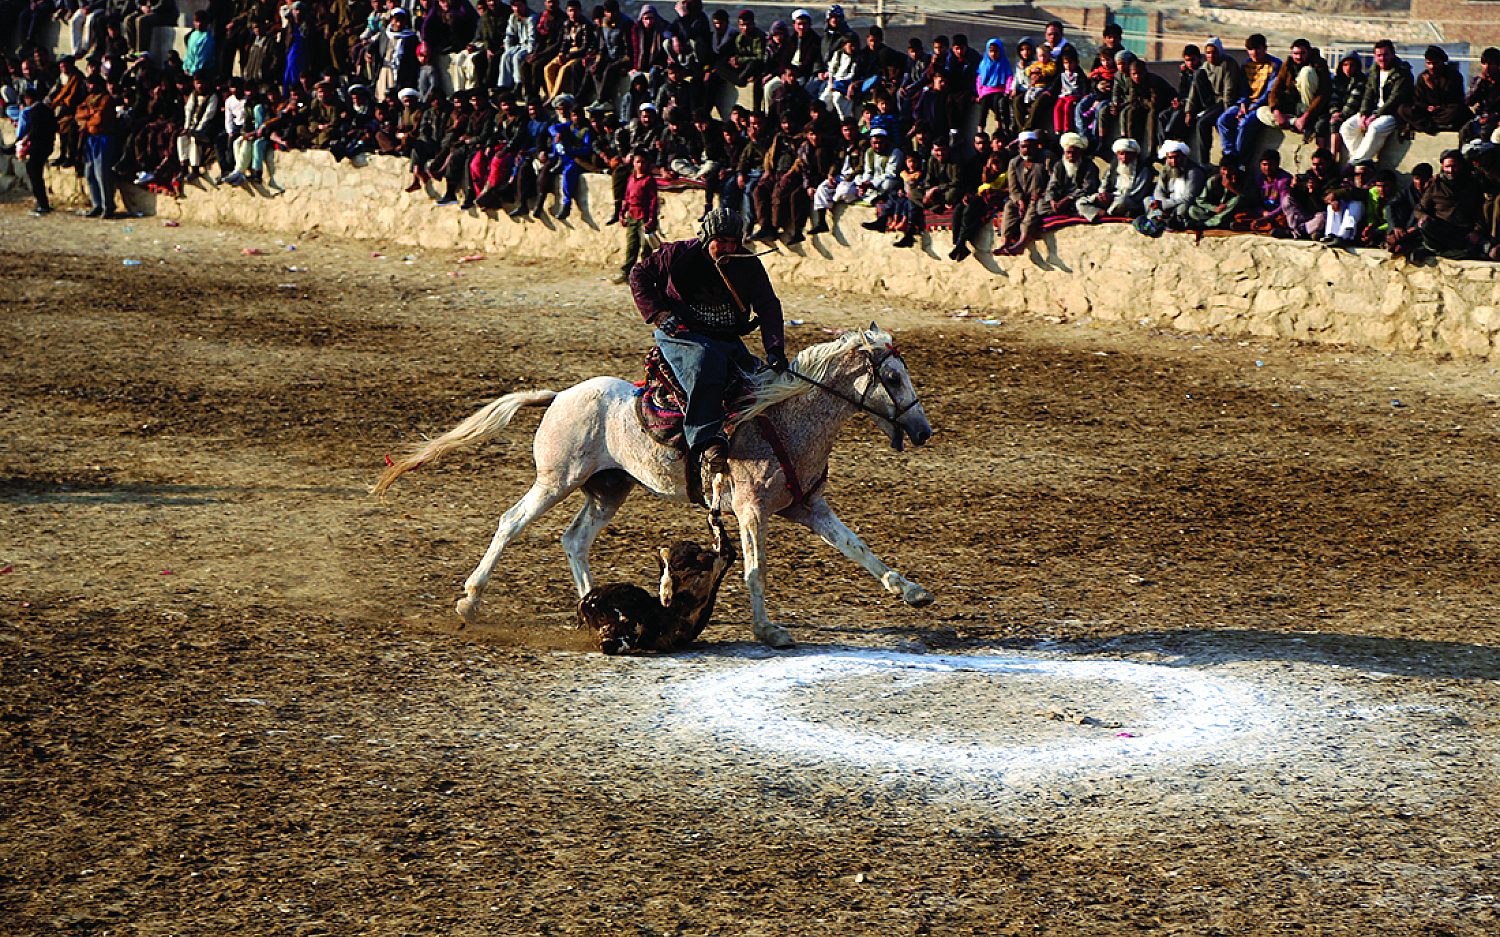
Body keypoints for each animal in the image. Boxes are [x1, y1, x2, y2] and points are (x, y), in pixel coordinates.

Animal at [373, 324, 934, 648]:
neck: (779, 416)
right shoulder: (750, 510)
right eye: (892, 377)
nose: (923, 431)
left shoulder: (808, 506)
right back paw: (470, 601)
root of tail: (559, 396)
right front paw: (769, 630)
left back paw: (594, 606)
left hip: (608, 489)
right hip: (556, 480)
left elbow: (859, 549)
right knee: (511, 522)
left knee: (575, 539)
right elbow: (755, 570)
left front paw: (912, 591)